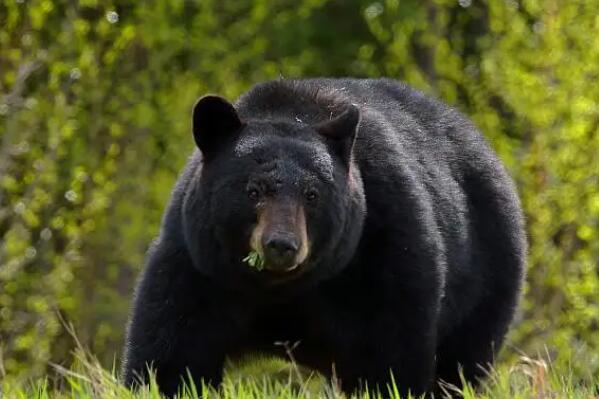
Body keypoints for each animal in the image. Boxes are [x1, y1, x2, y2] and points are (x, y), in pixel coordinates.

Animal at [120, 77, 524, 396]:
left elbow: (388, 349)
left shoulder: (383, 245)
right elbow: (174, 347)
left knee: (460, 362)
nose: (281, 245)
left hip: (487, 276)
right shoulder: (198, 262)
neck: (279, 288)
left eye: (312, 195)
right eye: (254, 190)